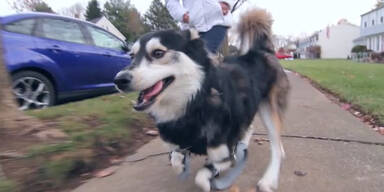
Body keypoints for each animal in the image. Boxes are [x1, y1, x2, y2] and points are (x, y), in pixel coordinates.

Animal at [115, 9, 290, 192]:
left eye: (158, 53)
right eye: (131, 56)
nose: (119, 80)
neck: (195, 102)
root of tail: (262, 51)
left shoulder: (225, 153)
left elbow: (201, 176)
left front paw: (208, 182)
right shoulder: (180, 144)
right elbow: (175, 160)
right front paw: (183, 165)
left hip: (270, 109)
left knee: (276, 146)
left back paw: (269, 179)